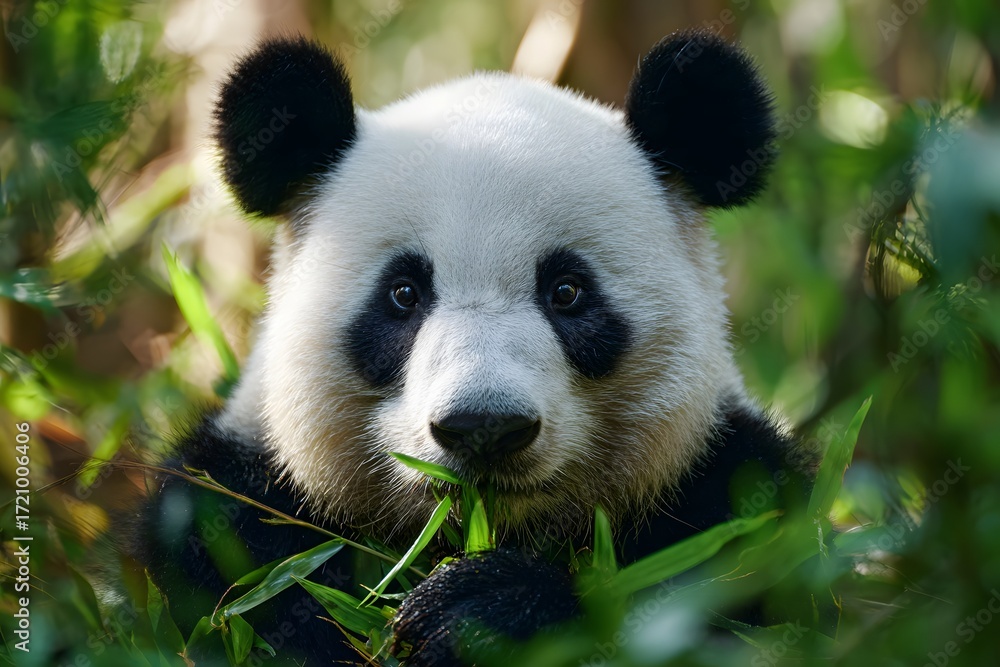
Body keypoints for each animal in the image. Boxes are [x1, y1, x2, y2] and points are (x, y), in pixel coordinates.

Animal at [135, 29, 813, 667]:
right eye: (404, 293)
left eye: (567, 291)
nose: (484, 427)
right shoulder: (237, 502)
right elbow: (255, 587)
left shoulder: (729, 488)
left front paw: (480, 610)